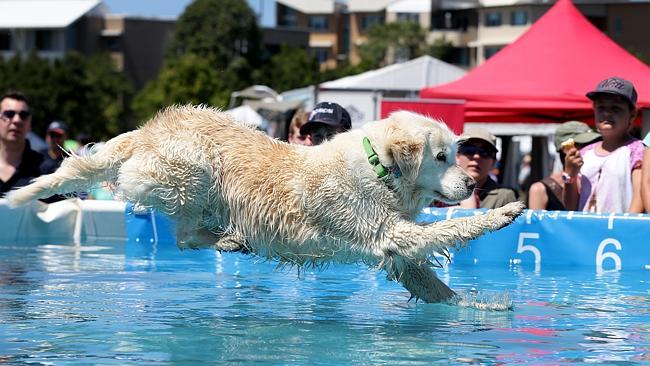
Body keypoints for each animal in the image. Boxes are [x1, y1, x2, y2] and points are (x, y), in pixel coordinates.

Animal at [5, 107, 520, 304]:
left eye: (456, 153)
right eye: (442, 157)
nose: (471, 181)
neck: (379, 168)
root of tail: (148, 129)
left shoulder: (394, 251)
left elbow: (428, 281)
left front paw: (471, 308)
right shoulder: (388, 232)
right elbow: (445, 229)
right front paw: (500, 214)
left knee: (186, 236)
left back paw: (231, 242)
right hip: (192, 172)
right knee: (184, 235)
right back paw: (228, 241)